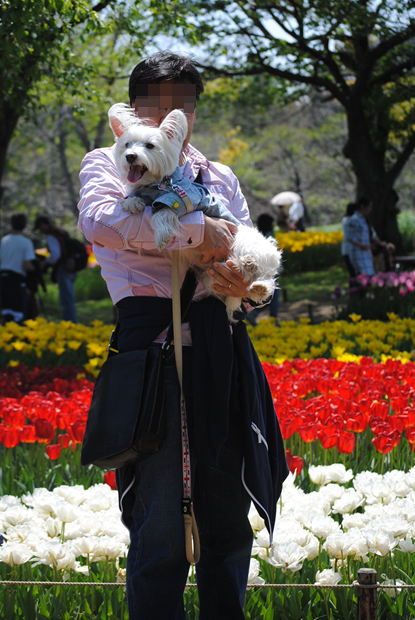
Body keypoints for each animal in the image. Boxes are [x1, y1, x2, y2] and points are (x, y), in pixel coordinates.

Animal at [109, 102, 282, 322]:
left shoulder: (184, 198)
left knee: (265, 275)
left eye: (150, 146)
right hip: (212, 275)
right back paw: (248, 273)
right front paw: (131, 203)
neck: (157, 184)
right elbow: (135, 198)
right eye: (127, 145)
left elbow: (163, 212)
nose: (130, 156)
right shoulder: (145, 192)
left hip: (246, 241)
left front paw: (162, 235)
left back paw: (254, 274)